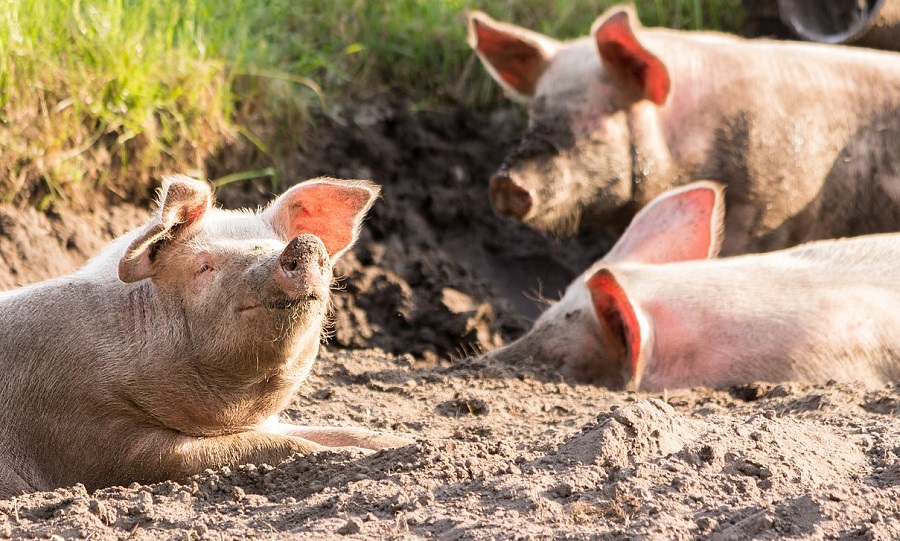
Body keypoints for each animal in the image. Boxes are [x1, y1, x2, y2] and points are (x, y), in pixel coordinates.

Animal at [0, 174, 412, 498]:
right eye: (204, 267)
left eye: (276, 244)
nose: (305, 243)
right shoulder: (94, 436)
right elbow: (268, 445)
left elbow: (347, 431)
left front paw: (411, 444)